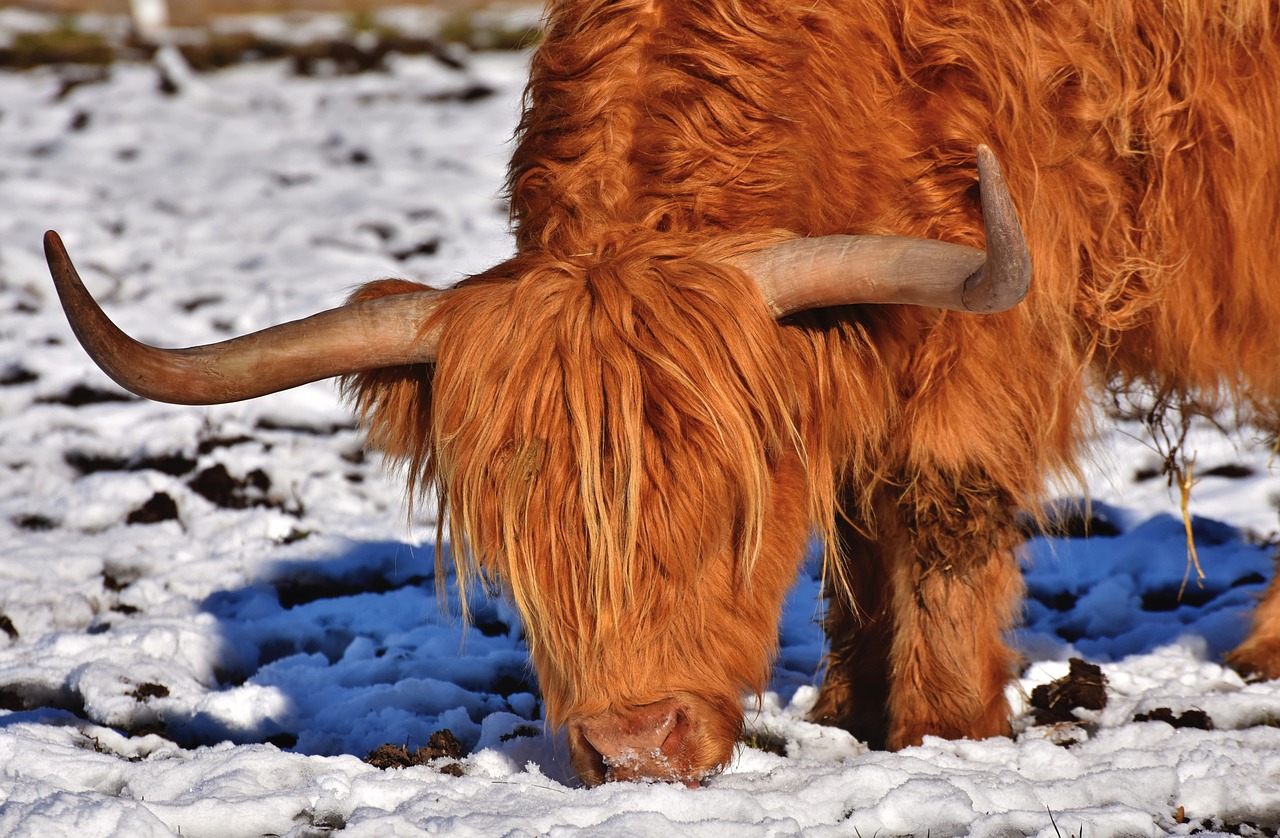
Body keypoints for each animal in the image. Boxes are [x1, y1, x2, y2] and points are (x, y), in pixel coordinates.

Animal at [45, 0, 1280, 788]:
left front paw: (941, 735)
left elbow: (939, 504)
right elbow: (853, 516)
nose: (639, 749)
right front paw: (847, 707)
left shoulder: (995, 312)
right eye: (517, 530)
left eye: (733, 506)